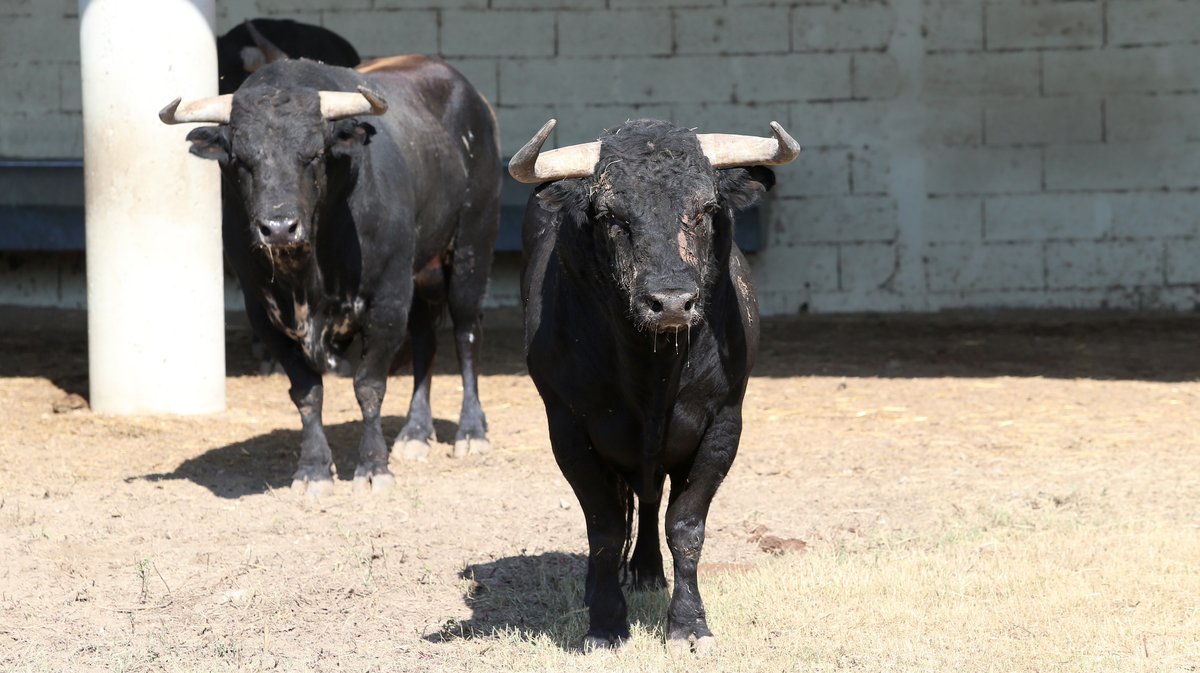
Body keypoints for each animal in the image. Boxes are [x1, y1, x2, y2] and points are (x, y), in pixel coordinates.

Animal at [162, 56, 499, 494]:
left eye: (314, 154)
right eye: (240, 160)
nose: (279, 227)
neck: (307, 274)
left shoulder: (387, 299)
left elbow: (369, 385)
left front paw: (373, 467)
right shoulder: (264, 313)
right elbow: (307, 393)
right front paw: (313, 470)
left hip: (472, 245)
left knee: (466, 332)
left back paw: (471, 432)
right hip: (420, 273)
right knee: (426, 338)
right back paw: (415, 433)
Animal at [516, 119, 796, 652]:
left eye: (705, 210)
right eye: (611, 216)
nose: (670, 302)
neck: (652, 374)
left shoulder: (722, 424)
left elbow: (684, 526)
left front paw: (688, 625)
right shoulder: (568, 429)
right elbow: (604, 528)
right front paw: (605, 623)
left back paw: (647, 572)